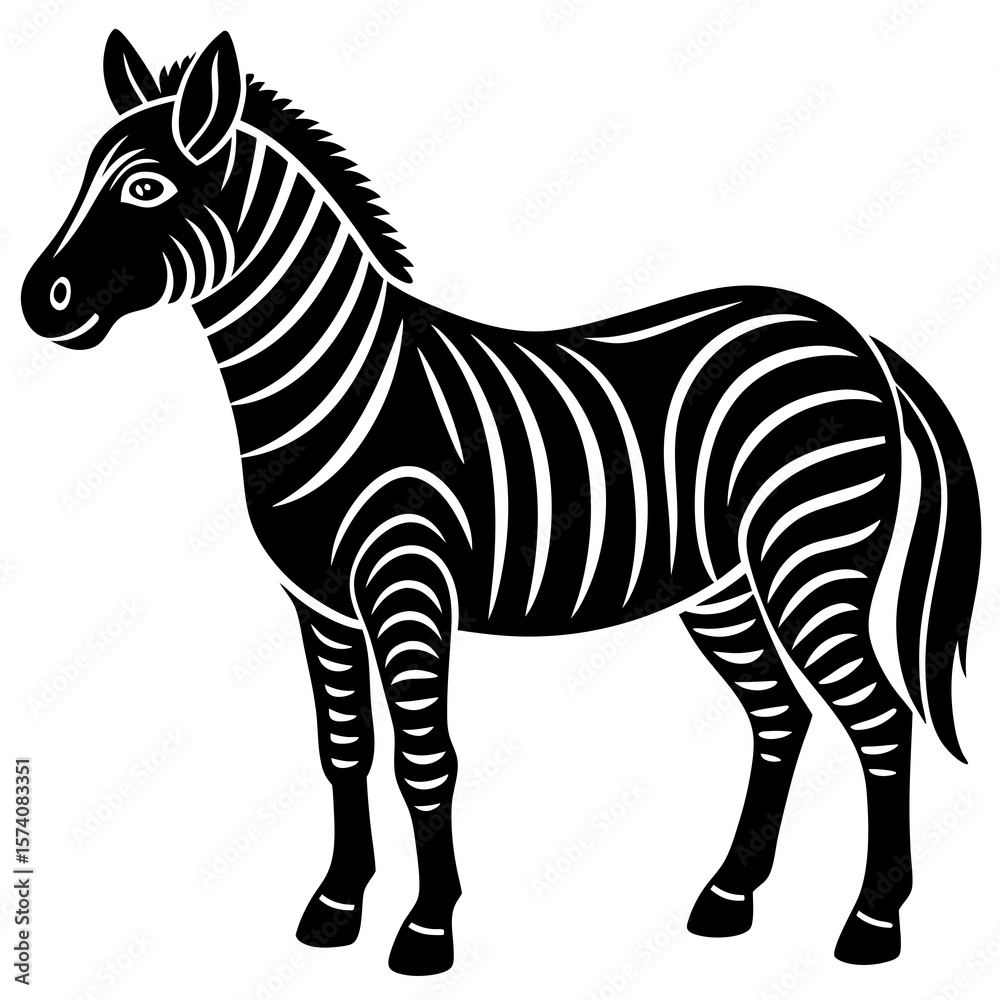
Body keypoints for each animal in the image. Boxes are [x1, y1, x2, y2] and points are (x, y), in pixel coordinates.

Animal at [20, 30, 981, 976]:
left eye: (146, 187)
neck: (335, 382)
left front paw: (426, 930)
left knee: (879, 718)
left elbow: (423, 757)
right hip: (724, 585)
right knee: (780, 714)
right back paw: (728, 897)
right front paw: (336, 908)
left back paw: (872, 923)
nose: (38, 304)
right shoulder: (319, 603)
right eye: (83, 175)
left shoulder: (408, 581)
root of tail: (851, 333)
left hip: (810, 558)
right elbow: (343, 749)